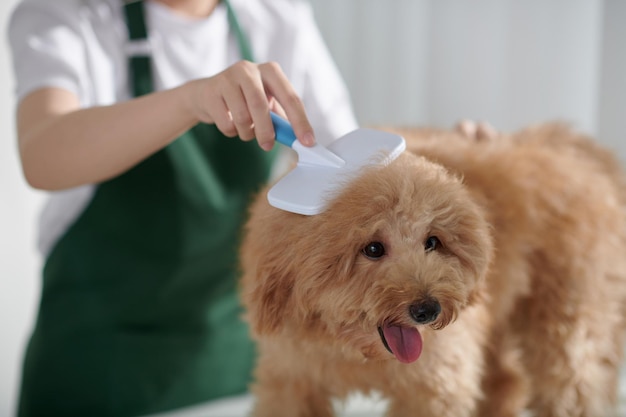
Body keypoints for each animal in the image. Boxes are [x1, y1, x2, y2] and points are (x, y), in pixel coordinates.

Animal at [238, 123, 624, 416]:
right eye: (373, 248)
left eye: (433, 241)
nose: (427, 309)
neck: (358, 355)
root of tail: (575, 152)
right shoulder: (291, 377)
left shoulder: (436, 385)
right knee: (506, 382)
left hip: (568, 325)